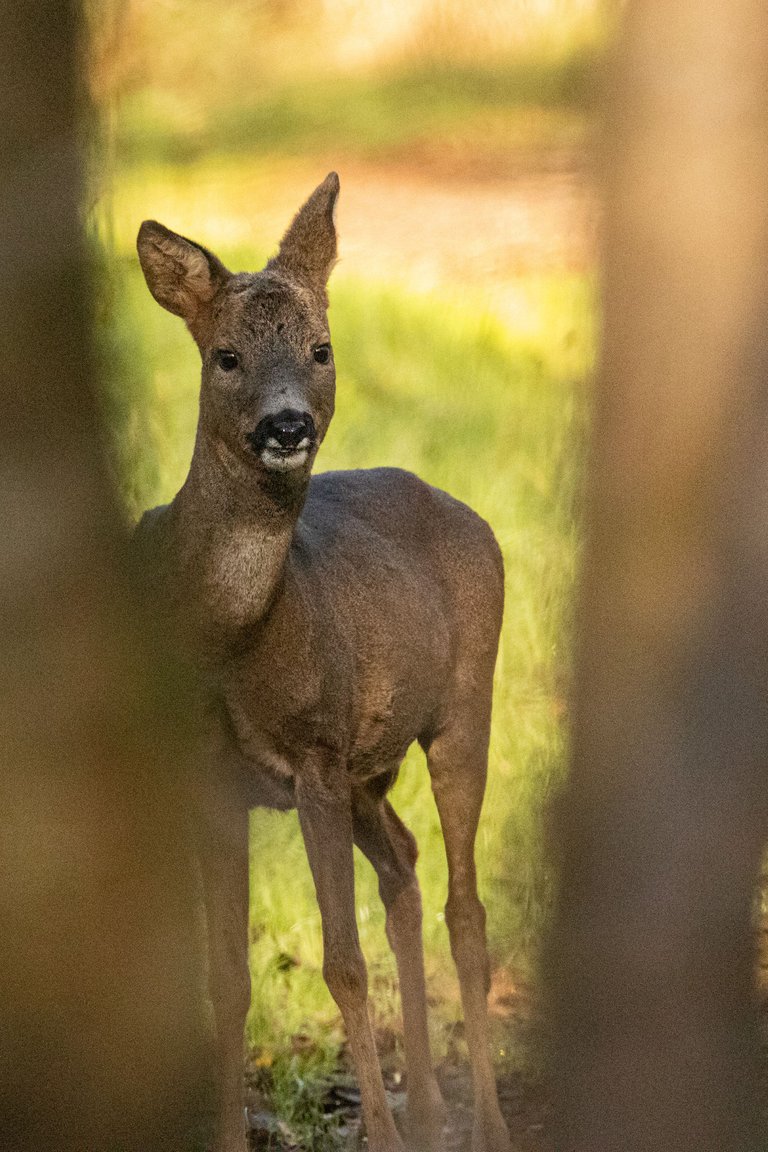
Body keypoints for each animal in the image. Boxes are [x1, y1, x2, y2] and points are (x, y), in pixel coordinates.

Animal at [135, 170, 511, 1152]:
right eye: (224, 355)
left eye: (321, 348)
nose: (286, 425)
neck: (229, 646)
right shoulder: (210, 773)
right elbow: (226, 979)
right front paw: (230, 1139)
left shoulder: (314, 751)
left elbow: (342, 963)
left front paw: (376, 1131)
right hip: (368, 762)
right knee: (406, 865)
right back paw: (432, 1112)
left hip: (464, 706)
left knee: (466, 910)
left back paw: (486, 1124)